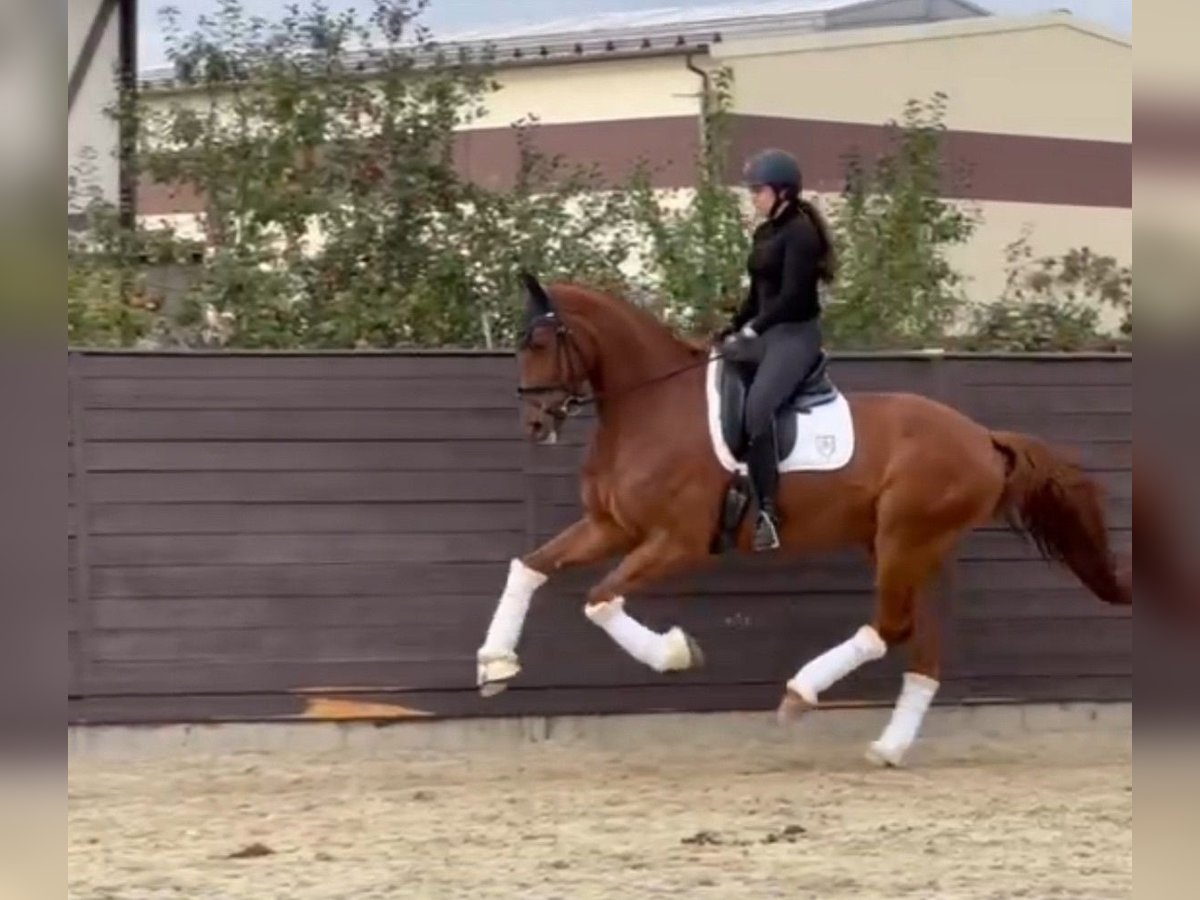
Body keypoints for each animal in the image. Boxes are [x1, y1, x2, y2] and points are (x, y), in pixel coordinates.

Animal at [472, 274, 1128, 768]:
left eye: (541, 342)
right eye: (519, 343)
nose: (535, 423)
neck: (650, 407)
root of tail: (982, 437)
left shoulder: (677, 541)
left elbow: (600, 601)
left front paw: (677, 653)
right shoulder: (612, 527)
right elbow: (529, 567)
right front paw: (495, 666)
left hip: (903, 539)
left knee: (890, 628)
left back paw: (800, 693)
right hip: (910, 546)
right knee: (923, 647)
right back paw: (888, 748)